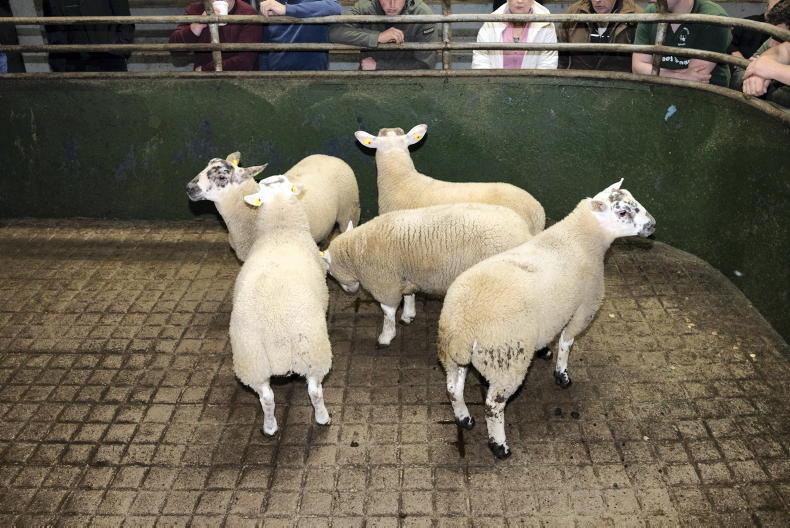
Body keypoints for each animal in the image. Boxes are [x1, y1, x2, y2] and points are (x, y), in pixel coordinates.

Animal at [230, 175, 332, 436]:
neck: (280, 230)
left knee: (266, 398)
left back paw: (269, 427)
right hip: (312, 351)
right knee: (314, 391)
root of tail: (275, 331)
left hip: (252, 361)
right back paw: (323, 417)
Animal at [321, 203, 534, 347]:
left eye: (329, 272)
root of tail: (526, 233)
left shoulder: (385, 282)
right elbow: (409, 296)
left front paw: (386, 337)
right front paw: (408, 315)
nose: (349, 291)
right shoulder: (405, 275)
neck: (358, 249)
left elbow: (387, 312)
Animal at [437, 180, 656, 459]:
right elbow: (566, 342)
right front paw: (562, 374)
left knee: (453, 388)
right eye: (623, 212)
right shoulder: (585, 306)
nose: (652, 225)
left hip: (452, 354)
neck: (582, 238)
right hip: (507, 359)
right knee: (493, 405)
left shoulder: (553, 313)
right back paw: (500, 446)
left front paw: (543, 351)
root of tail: (464, 325)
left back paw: (464, 419)